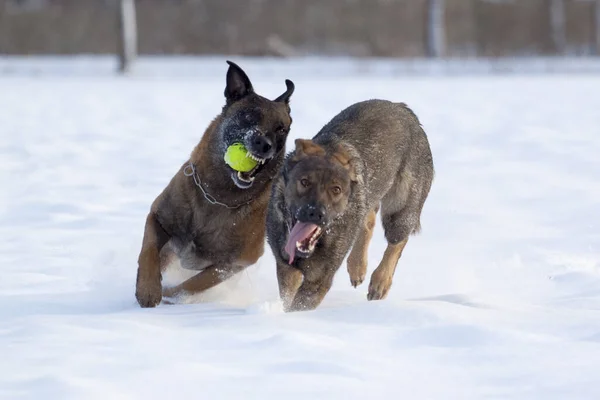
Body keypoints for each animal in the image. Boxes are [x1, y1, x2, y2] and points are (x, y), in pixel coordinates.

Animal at [136, 61, 296, 308]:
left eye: (281, 129)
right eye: (248, 116)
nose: (264, 145)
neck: (219, 196)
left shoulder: (235, 262)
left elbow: (193, 284)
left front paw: (170, 296)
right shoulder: (158, 217)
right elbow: (149, 250)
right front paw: (147, 289)